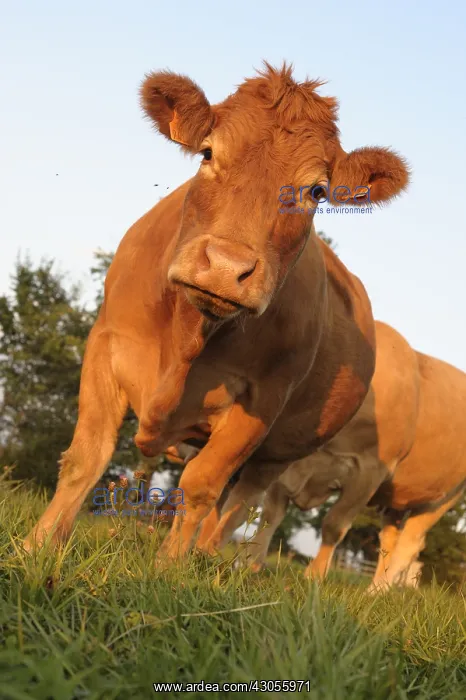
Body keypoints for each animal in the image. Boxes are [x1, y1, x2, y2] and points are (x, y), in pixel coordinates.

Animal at [24, 63, 409, 561]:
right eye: (208, 153)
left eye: (317, 191)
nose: (226, 267)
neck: (189, 336)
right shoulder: (106, 344)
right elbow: (85, 457)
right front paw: (36, 547)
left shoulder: (261, 400)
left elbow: (202, 487)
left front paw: (168, 568)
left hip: (278, 454)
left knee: (240, 502)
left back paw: (206, 557)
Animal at [239, 321, 466, 591]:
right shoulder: (288, 464)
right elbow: (270, 516)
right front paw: (251, 565)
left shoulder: (368, 472)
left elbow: (334, 524)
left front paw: (314, 576)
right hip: (397, 497)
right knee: (390, 540)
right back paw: (375, 589)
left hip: (445, 498)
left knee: (409, 545)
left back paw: (380, 591)